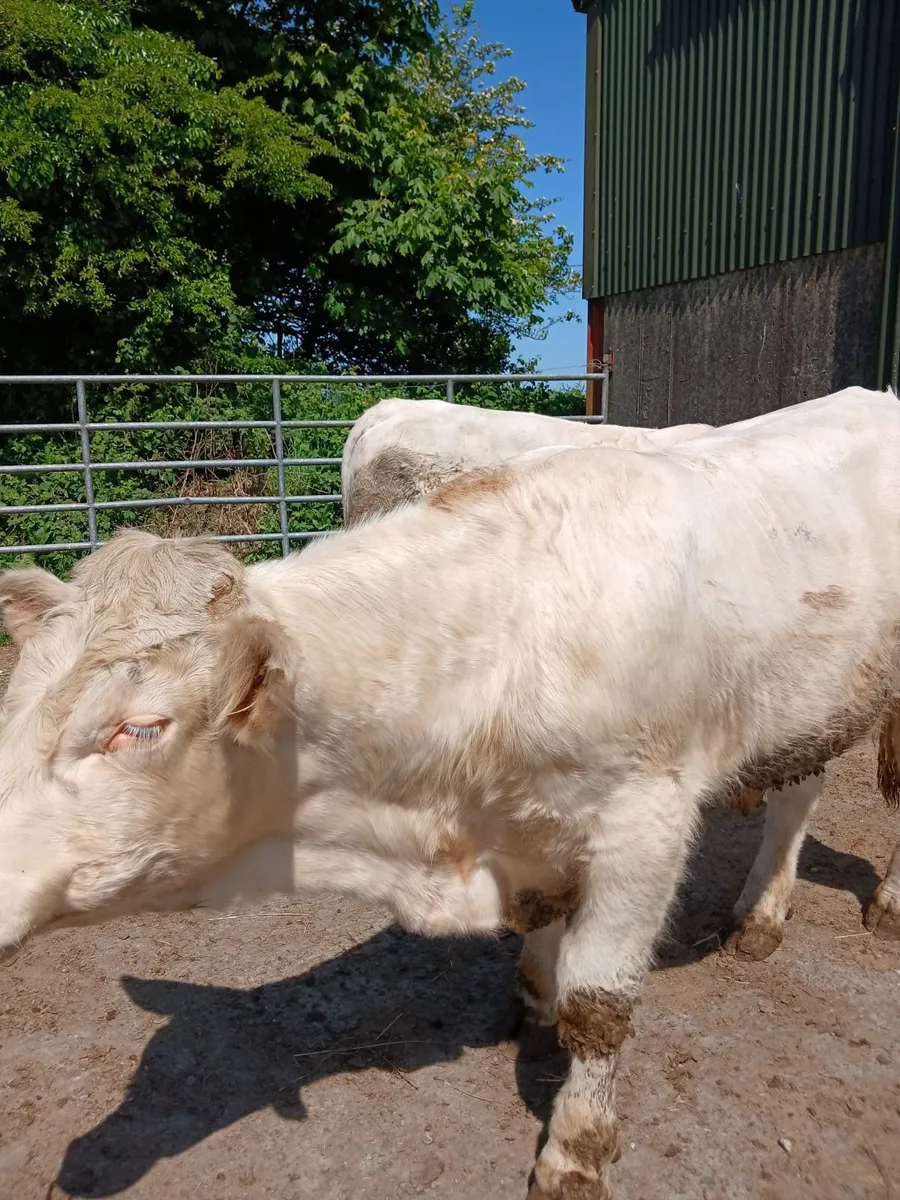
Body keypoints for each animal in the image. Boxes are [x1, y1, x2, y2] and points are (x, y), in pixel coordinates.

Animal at [3, 385, 900, 1200]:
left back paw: (882, 905)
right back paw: (761, 914)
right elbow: (542, 929)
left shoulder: (644, 821)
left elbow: (599, 1005)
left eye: (140, 727)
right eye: (16, 701)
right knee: (797, 796)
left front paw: (575, 1152)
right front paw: (532, 999)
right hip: (807, 696)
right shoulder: (532, 828)